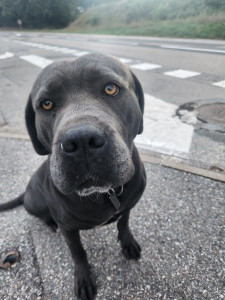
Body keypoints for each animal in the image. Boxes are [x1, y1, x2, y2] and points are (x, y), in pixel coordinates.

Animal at [0, 52, 146, 298]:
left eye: (110, 88)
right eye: (46, 103)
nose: (81, 140)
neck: (104, 194)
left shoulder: (129, 204)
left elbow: (124, 223)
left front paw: (128, 243)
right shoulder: (69, 229)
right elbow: (78, 252)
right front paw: (84, 278)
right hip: (36, 203)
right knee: (44, 215)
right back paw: (50, 223)